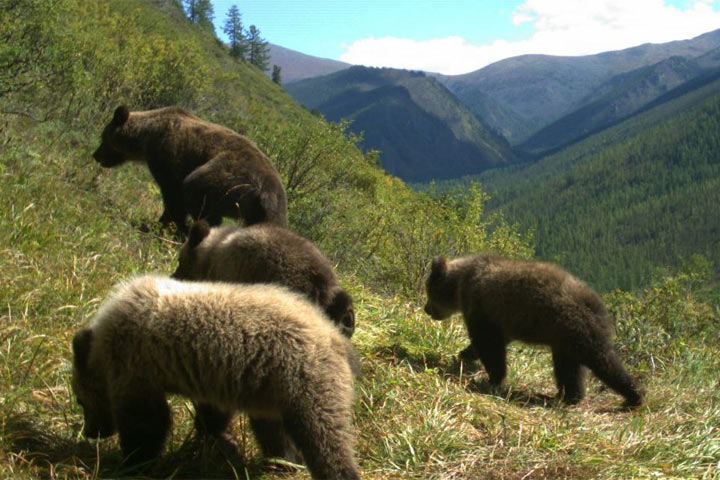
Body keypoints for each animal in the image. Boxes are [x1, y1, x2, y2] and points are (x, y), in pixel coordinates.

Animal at [71, 276, 358, 478]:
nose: (92, 431)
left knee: (324, 439)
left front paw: (133, 463)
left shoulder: (136, 367)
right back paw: (283, 459)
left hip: (304, 379)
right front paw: (218, 440)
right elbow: (211, 414)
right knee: (274, 429)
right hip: (271, 389)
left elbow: (146, 422)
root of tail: (335, 337)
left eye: (80, 400)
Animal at [92, 106, 286, 233]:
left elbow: (173, 194)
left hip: (229, 178)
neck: (146, 136)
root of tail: (269, 191)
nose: (95, 155)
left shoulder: (168, 156)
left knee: (194, 189)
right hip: (263, 209)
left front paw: (163, 225)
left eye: (103, 137)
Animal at [420, 253, 644, 406]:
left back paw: (633, 394)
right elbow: (496, 341)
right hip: (564, 339)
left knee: (601, 361)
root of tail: (595, 304)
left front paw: (491, 379)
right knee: (569, 369)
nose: (426, 309)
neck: (460, 283)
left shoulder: (480, 306)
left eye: (429, 292)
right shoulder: (504, 320)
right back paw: (567, 396)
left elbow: (489, 344)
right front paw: (465, 354)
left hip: (573, 327)